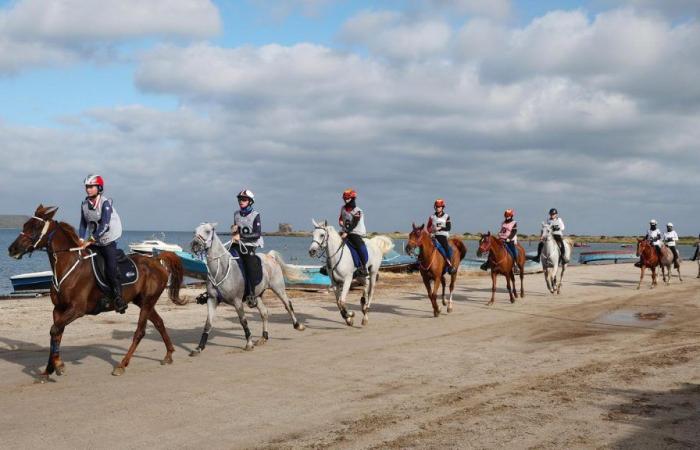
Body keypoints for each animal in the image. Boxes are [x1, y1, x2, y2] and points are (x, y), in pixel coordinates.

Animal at [6, 205, 186, 380]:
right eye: (25, 225)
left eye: (36, 226)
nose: (12, 249)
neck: (68, 265)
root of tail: (156, 260)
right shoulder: (58, 309)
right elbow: (56, 333)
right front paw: (49, 369)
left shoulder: (77, 309)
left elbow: (54, 330)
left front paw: (58, 365)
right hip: (143, 302)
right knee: (159, 323)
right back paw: (168, 354)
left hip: (147, 302)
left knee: (140, 332)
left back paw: (122, 365)